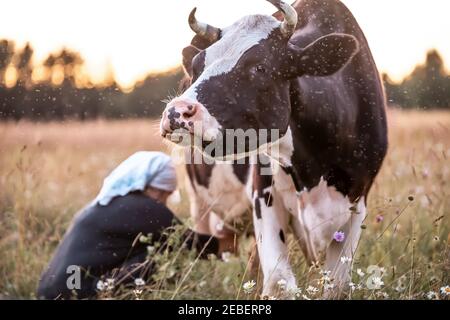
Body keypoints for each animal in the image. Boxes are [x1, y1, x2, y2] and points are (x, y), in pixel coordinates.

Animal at [160, 0, 388, 298]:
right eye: (198, 66)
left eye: (260, 68)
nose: (176, 111)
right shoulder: (263, 192)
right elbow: (279, 283)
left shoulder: (358, 199)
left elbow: (337, 284)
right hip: (201, 205)